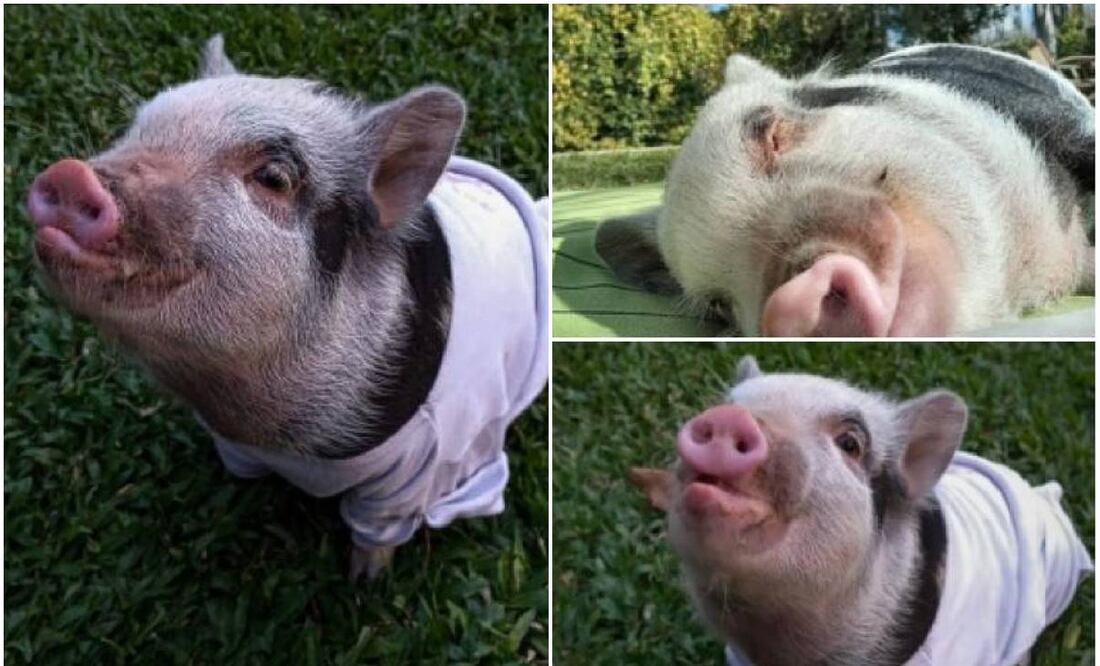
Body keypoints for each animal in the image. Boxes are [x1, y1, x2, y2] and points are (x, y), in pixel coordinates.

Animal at [27, 35, 548, 579]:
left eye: (275, 177)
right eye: (135, 131)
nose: (71, 175)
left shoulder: (414, 472)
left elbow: (378, 528)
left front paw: (366, 580)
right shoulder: (234, 443)